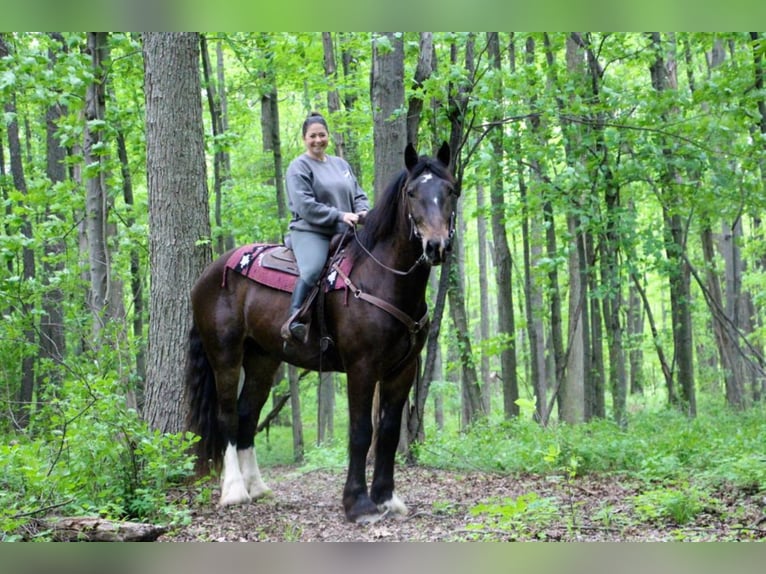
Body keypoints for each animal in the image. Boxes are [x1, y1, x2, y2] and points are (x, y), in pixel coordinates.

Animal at [185, 142, 456, 524]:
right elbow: (361, 432)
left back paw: (258, 487)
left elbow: (388, 432)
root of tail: (209, 275)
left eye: (450, 190)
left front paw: (387, 498)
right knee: (227, 415)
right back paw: (235, 491)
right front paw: (358, 504)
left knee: (246, 415)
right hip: (225, 355)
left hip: (262, 360)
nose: (436, 246)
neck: (381, 278)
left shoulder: (403, 369)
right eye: (412, 192)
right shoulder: (361, 367)